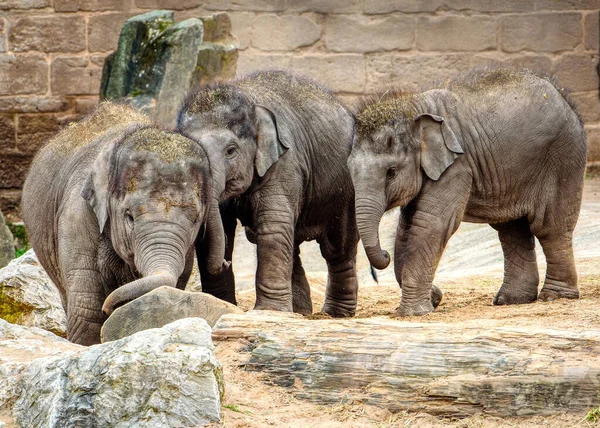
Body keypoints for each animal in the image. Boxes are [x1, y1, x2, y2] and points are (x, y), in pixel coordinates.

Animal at [176, 70, 358, 316]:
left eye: (231, 151)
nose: (225, 263)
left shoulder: (285, 163)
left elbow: (273, 225)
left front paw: (269, 311)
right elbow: (216, 231)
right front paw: (222, 305)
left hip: (345, 189)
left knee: (338, 248)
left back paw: (335, 314)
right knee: (293, 245)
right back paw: (299, 311)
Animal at [346, 67, 584, 318]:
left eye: (391, 172)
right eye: (349, 170)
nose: (385, 255)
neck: (413, 107)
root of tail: (562, 96)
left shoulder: (457, 167)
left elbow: (430, 224)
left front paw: (414, 313)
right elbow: (406, 227)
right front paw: (432, 299)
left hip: (563, 158)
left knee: (550, 227)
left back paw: (555, 296)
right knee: (512, 229)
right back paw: (512, 300)